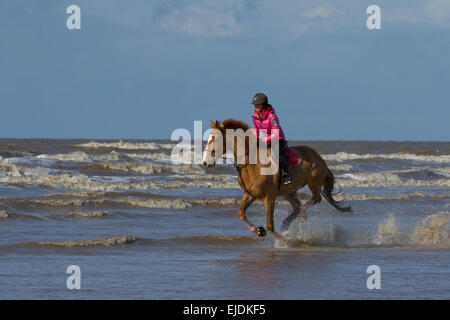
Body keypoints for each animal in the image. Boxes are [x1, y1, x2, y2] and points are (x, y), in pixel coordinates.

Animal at [201, 119, 352, 241]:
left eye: (215, 139)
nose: (205, 162)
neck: (252, 163)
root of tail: (320, 158)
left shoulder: (269, 197)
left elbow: (270, 225)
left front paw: (284, 240)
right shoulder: (250, 195)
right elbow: (241, 213)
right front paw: (259, 231)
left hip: (313, 183)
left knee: (314, 200)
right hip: (289, 192)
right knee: (298, 207)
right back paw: (288, 224)